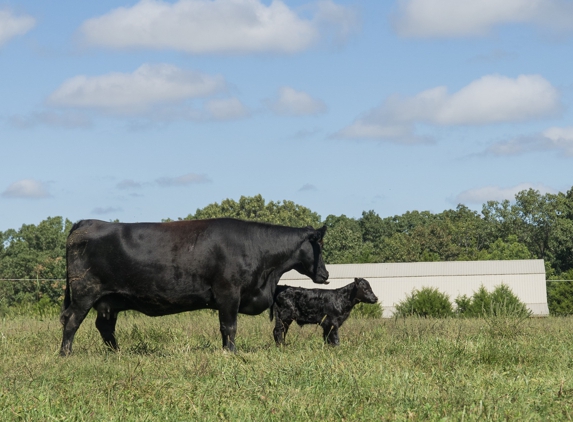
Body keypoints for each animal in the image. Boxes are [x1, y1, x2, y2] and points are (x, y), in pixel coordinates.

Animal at [58, 219, 328, 354]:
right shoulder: (228, 293)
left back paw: (117, 353)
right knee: (71, 321)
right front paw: (231, 353)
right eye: (318, 246)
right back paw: (65, 354)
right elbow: (229, 327)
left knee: (105, 326)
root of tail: (88, 222)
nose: (325, 274)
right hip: (84, 292)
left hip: (109, 301)